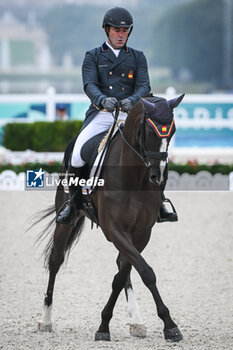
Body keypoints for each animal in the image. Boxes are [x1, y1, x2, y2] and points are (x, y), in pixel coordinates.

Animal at [36, 93, 185, 342]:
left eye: (172, 131)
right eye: (150, 131)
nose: (158, 176)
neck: (134, 178)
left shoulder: (142, 233)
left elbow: (124, 274)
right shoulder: (114, 229)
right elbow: (145, 272)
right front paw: (168, 324)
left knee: (121, 265)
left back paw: (137, 321)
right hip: (65, 221)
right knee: (55, 260)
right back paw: (45, 319)